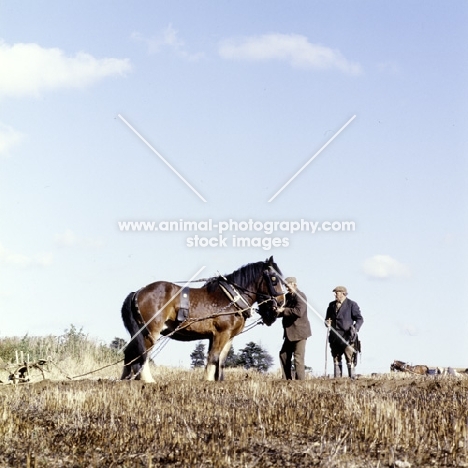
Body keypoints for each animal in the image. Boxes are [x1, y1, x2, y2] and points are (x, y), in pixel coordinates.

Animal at [119, 258, 286, 382]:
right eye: (273, 279)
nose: (281, 303)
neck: (231, 298)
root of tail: (138, 292)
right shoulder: (221, 333)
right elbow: (213, 357)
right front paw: (207, 380)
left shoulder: (227, 336)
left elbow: (221, 360)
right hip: (150, 331)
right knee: (143, 354)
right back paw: (148, 380)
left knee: (130, 353)